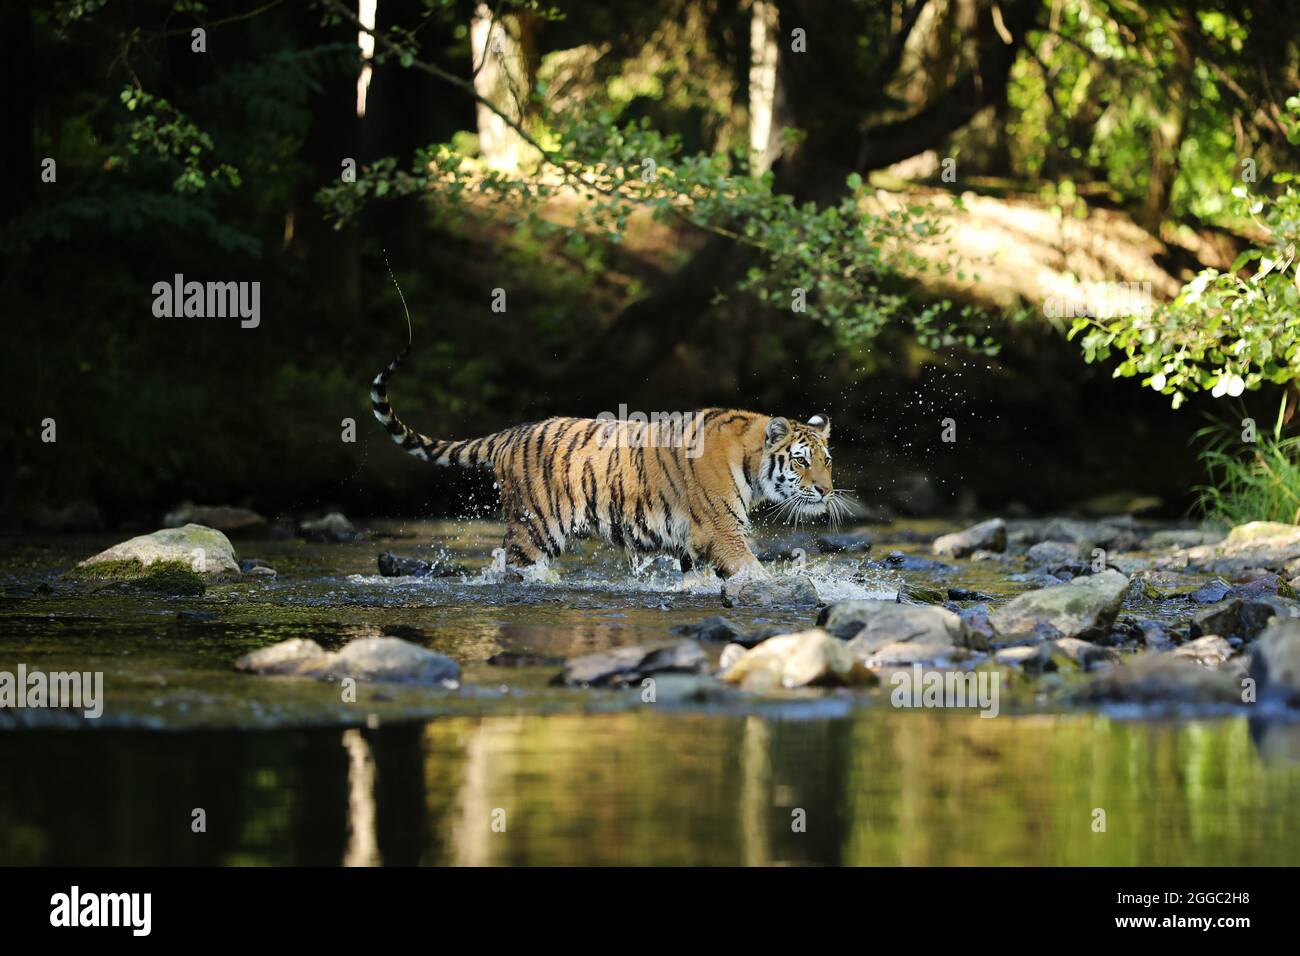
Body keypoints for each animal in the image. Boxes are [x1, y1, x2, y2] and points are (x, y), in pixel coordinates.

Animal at [369, 348, 832, 580]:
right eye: (801, 461)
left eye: (827, 461)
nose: (826, 490)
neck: (751, 465)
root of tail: (513, 432)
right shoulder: (722, 532)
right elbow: (755, 571)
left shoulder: (693, 545)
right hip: (533, 529)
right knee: (514, 566)